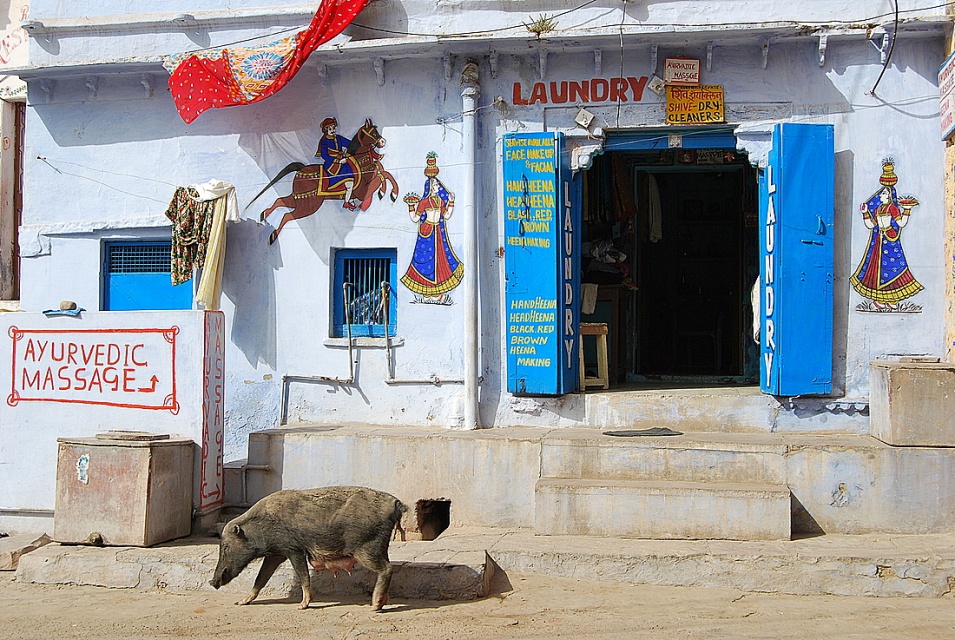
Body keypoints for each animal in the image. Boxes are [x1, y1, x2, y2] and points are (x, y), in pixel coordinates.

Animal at [210, 486, 408, 611]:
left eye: (225, 547)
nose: (212, 582)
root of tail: (396, 504)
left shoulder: (294, 549)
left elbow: (303, 575)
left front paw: (302, 606)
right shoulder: (276, 554)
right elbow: (261, 578)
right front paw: (240, 602)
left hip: (366, 548)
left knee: (387, 568)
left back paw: (374, 606)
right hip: (379, 547)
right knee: (387, 567)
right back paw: (381, 603)